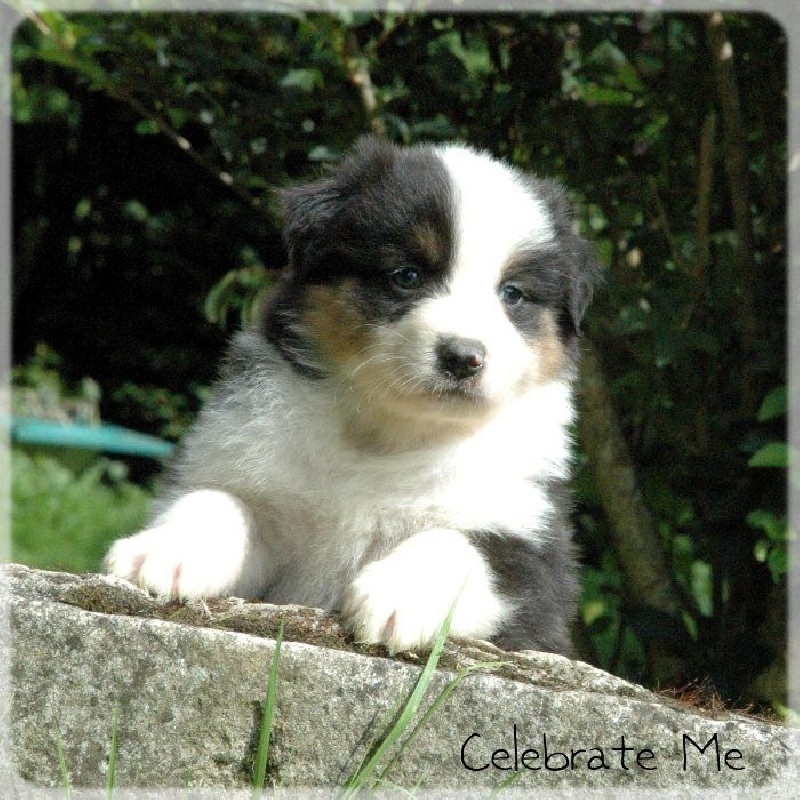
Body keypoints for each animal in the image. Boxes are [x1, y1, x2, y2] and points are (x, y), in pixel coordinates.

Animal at [103, 134, 596, 652]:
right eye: (406, 275)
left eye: (513, 294)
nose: (464, 356)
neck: (388, 434)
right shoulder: (253, 475)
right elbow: (218, 501)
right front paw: (159, 553)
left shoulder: (534, 547)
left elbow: (458, 544)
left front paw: (397, 596)